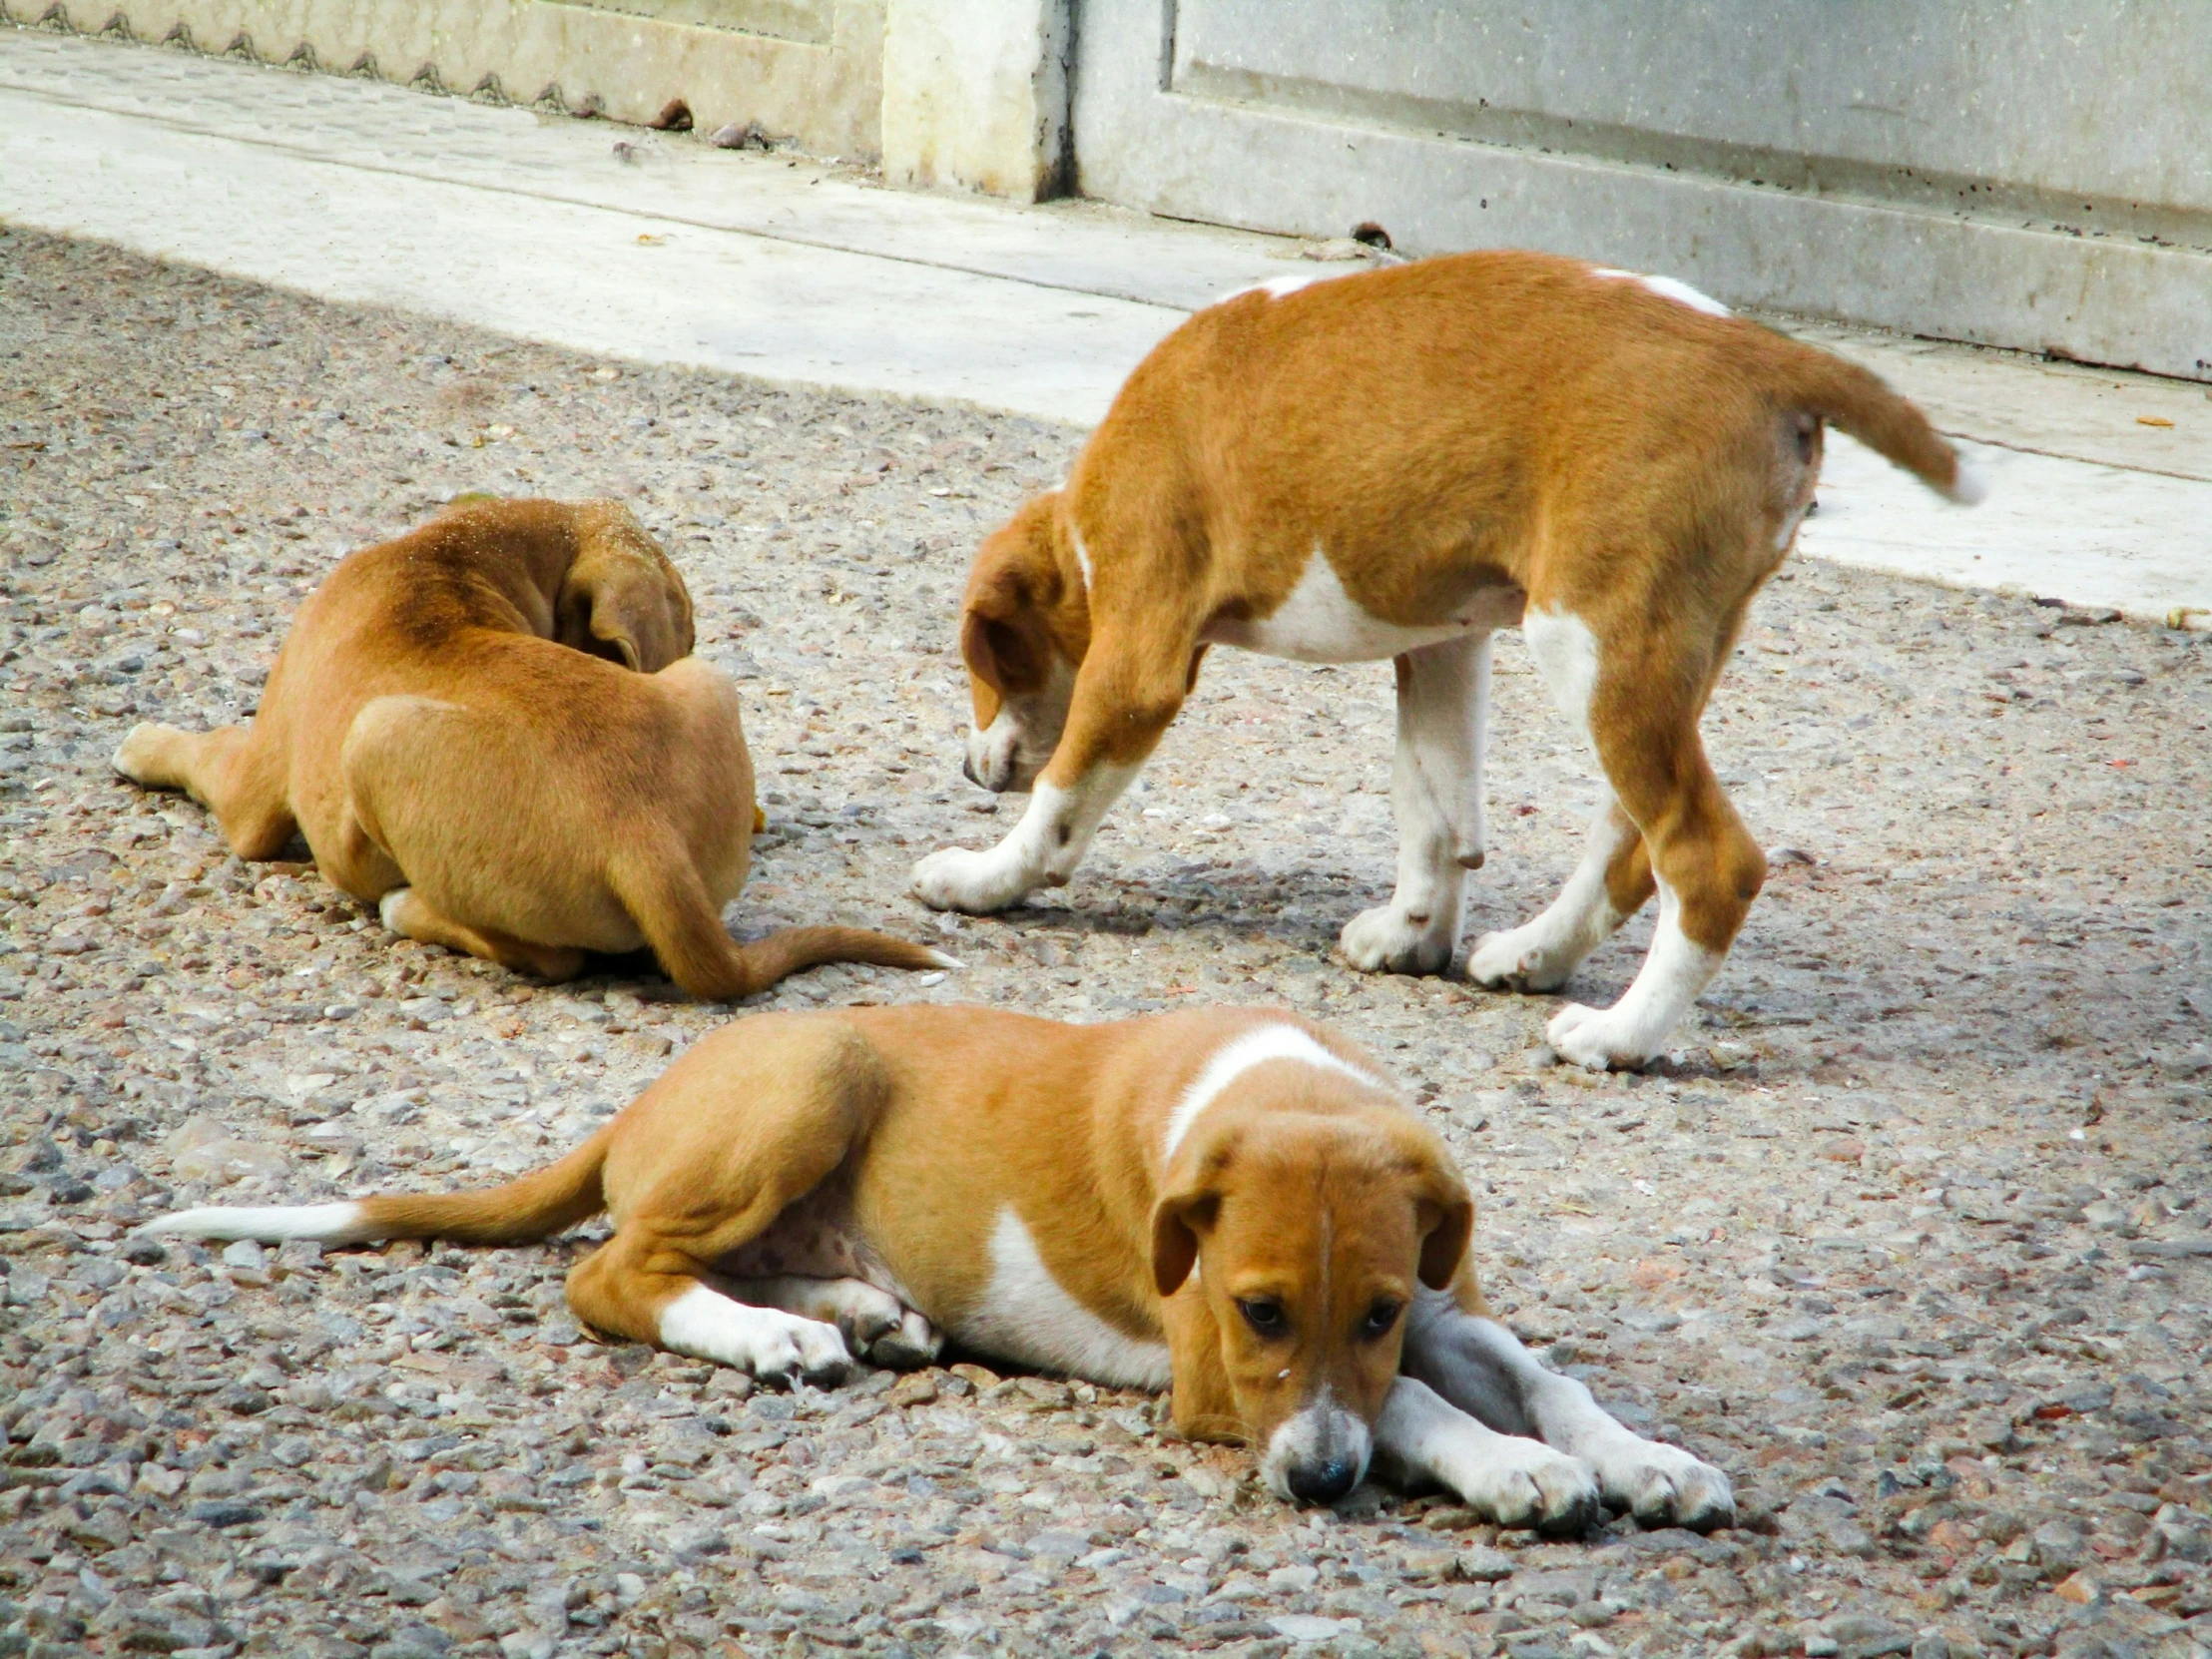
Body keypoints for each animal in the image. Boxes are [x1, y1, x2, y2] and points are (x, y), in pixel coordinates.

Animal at [114, 497, 950, 999]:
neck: (452, 555)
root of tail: (640, 837)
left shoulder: (253, 794)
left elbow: (205, 753)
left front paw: (144, 741)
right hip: (709, 688)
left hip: (376, 736)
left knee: (549, 959)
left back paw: (405, 906)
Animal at [147, 999, 1734, 1530]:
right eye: (1259, 1307)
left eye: (1384, 1300)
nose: (1318, 1487)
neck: (1279, 1081)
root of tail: (650, 1095)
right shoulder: (1219, 1375)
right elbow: (1413, 1405)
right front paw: (1514, 1470)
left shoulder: (1439, 1303)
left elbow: (1531, 1369)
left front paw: (1645, 1458)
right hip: (817, 1077)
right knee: (609, 1275)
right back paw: (770, 1338)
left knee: (716, 1258)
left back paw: (855, 1310)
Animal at [906, 253, 1981, 1070]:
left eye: (990, 663)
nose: (967, 766)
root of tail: (1763, 353)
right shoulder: (1443, 647)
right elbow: (1432, 811)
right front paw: (1411, 934)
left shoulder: (1136, 663)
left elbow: (1061, 798)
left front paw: (985, 880)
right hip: (1657, 656)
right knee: (1630, 841)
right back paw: (1537, 954)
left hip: (1590, 643)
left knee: (1705, 859)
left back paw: (1619, 1039)